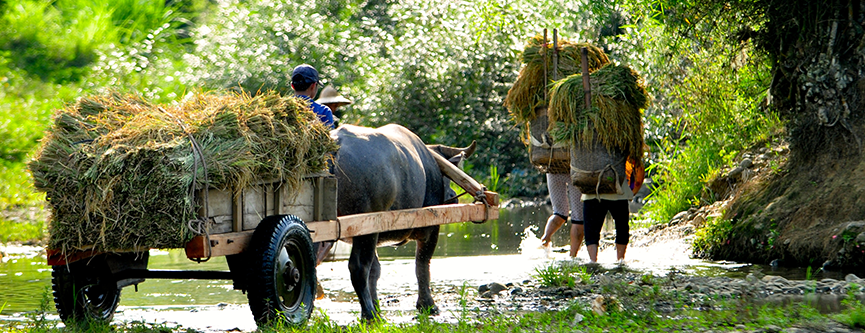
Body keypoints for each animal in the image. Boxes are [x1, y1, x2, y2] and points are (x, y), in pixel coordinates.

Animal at [330, 124, 476, 320]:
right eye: (446, 177)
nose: (453, 197)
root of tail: (336, 144)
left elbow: (376, 271)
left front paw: (377, 304)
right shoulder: (430, 228)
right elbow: (422, 264)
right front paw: (427, 305)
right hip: (366, 229)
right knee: (359, 267)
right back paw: (369, 314)